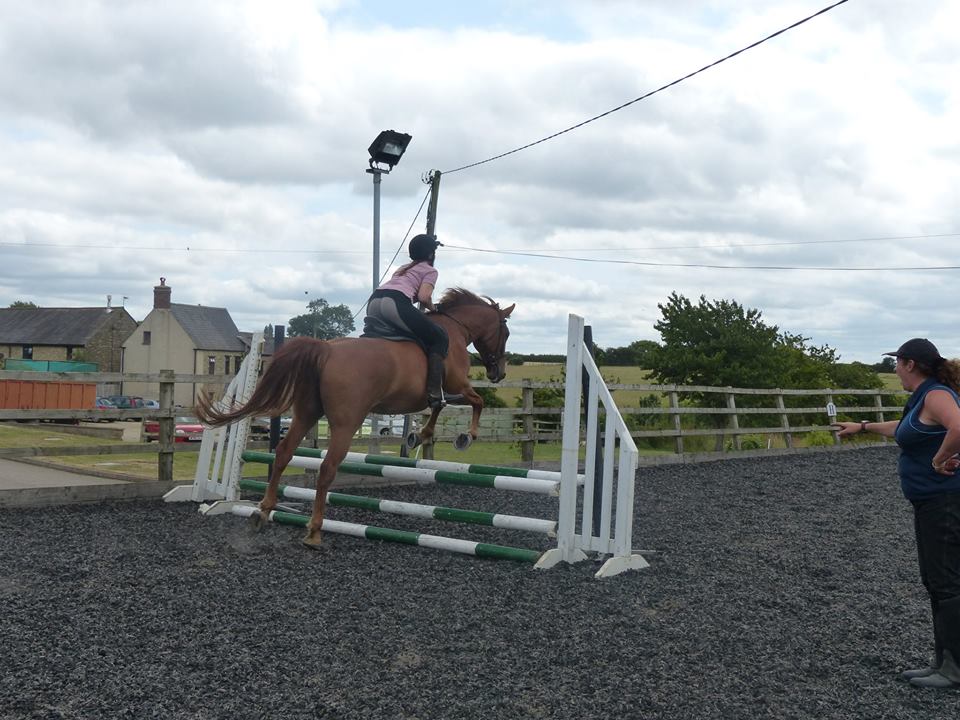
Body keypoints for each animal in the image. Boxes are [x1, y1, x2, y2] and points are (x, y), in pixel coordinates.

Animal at [196, 287, 515, 547]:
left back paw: (263, 511)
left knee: (284, 452)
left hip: (307, 413)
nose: (499, 373)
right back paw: (314, 531)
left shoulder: (440, 392)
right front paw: (465, 436)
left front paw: (419, 435)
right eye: (507, 333)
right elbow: (473, 402)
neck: (455, 330)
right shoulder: (455, 385)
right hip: (346, 423)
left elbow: (439, 407)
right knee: (327, 468)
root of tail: (326, 349)